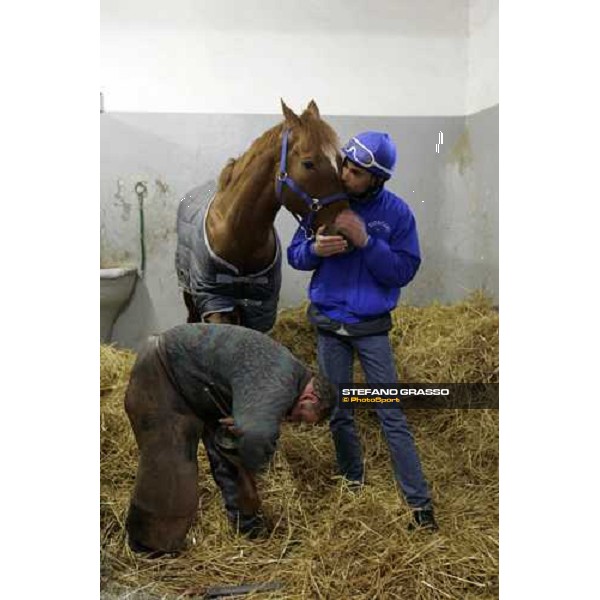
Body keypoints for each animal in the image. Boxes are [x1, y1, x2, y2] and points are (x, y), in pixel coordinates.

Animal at [176, 100, 350, 330]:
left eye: (341, 160)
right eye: (308, 163)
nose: (344, 229)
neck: (240, 234)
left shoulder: (259, 307)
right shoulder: (215, 302)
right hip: (189, 291)